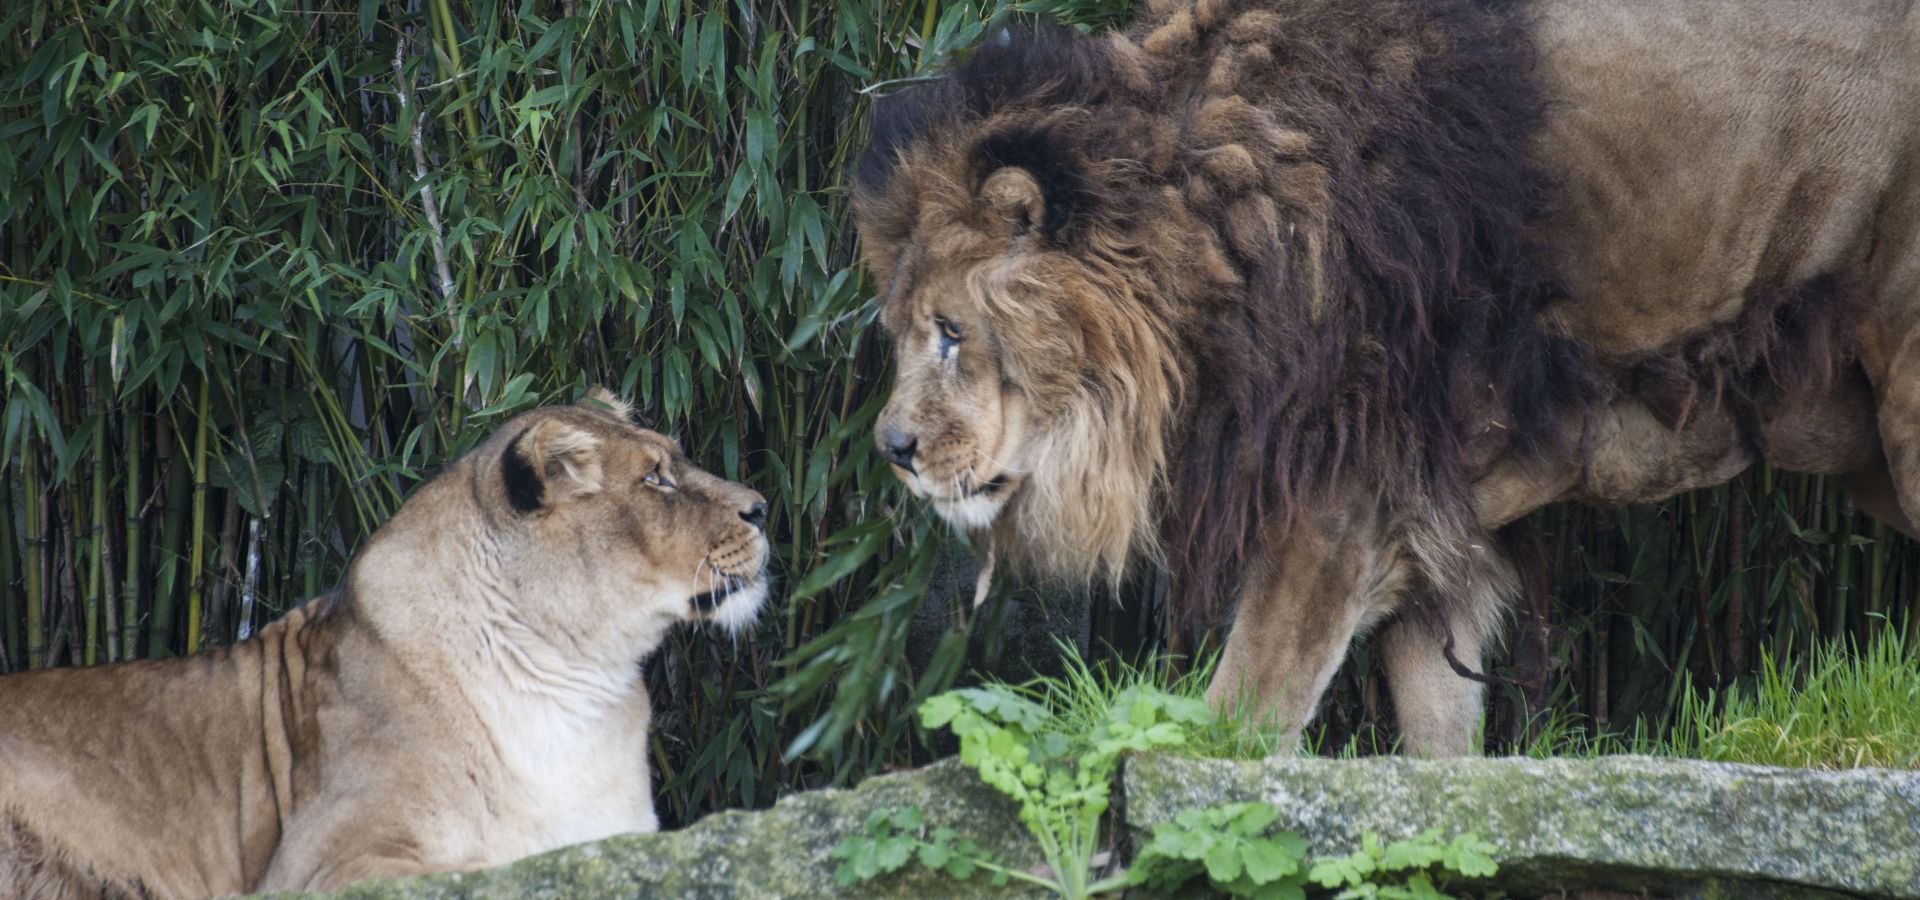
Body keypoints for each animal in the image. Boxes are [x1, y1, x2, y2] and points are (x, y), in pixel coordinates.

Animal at [1, 395, 764, 898]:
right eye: (655, 478)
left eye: (676, 461)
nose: (762, 507)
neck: (575, 678)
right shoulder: (320, 863)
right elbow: (490, 868)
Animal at [860, 0, 1920, 756]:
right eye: (901, 332)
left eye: (951, 332)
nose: (893, 450)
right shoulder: (1429, 534)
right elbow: (1442, 744)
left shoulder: (1341, 502)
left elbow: (1241, 715)